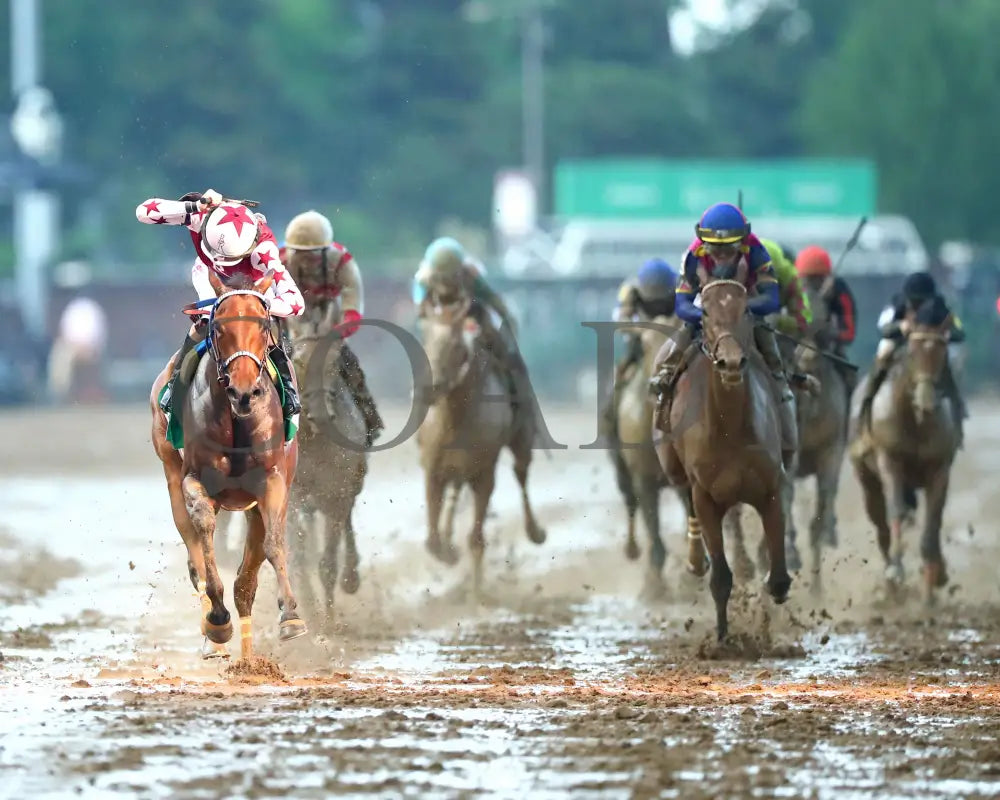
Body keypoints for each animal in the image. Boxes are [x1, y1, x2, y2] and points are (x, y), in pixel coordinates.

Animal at [148, 268, 304, 656]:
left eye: (263, 325)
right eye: (218, 327)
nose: (244, 391)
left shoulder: (272, 481)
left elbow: (273, 545)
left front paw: (291, 616)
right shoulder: (195, 479)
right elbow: (203, 533)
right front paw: (217, 620)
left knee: (246, 583)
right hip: (170, 468)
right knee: (193, 546)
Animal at [416, 296, 548, 592]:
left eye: (456, 346)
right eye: (426, 340)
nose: (427, 389)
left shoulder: (484, 472)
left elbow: (476, 540)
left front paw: (476, 596)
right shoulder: (433, 469)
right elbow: (431, 541)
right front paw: (448, 552)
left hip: (520, 438)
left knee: (521, 472)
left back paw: (536, 531)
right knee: (454, 494)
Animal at [652, 266, 792, 640]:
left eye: (745, 311)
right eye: (704, 314)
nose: (730, 362)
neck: (730, 429)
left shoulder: (771, 487)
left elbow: (777, 577)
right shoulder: (706, 495)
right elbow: (721, 578)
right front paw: (723, 639)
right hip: (674, 468)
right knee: (686, 502)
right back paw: (695, 559)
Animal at [852, 312, 960, 600]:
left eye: (942, 349)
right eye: (912, 350)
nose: (927, 401)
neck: (915, 421)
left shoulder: (939, 469)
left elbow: (933, 523)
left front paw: (932, 583)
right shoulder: (889, 461)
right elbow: (897, 512)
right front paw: (896, 571)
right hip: (867, 481)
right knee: (882, 525)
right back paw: (890, 581)